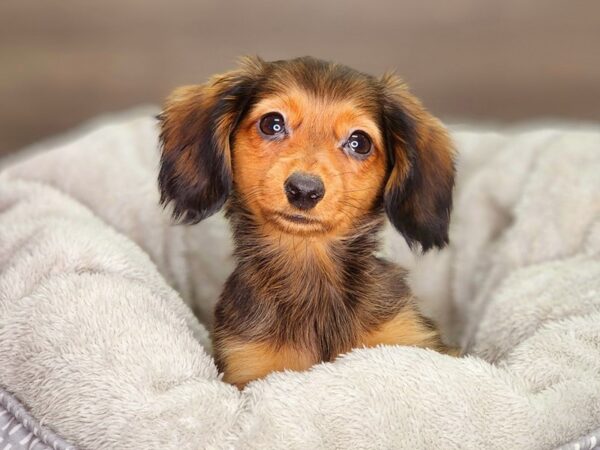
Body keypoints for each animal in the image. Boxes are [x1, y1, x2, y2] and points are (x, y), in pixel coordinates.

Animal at [158, 55, 454, 386]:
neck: (309, 264)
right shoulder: (249, 364)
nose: (304, 190)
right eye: (272, 124)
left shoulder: (406, 335)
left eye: (359, 142)